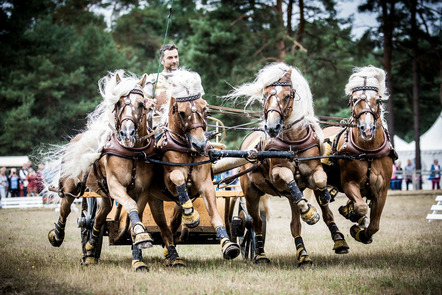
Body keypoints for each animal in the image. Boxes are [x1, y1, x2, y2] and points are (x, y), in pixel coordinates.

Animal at [46, 70, 180, 272]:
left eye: (141, 104)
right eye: (117, 103)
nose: (127, 133)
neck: (133, 154)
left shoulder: (142, 191)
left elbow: (134, 218)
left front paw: (138, 257)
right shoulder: (117, 186)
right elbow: (130, 206)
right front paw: (142, 237)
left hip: (105, 194)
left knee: (99, 217)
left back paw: (90, 248)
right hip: (72, 186)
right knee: (66, 208)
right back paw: (57, 236)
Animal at [148, 70, 240, 262]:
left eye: (205, 108)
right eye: (182, 113)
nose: (199, 144)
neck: (188, 150)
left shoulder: (205, 184)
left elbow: (215, 216)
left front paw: (227, 244)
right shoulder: (170, 181)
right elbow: (177, 177)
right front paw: (191, 216)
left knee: (173, 222)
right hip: (153, 199)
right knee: (164, 227)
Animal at [224, 63, 348, 268]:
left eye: (287, 95)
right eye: (265, 95)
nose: (272, 127)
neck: (293, 144)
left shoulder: (313, 172)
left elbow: (321, 183)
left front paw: (324, 200)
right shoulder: (277, 174)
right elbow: (288, 175)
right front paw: (309, 211)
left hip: (289, 196)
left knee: (298, 224)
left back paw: (306, 254)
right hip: (250, 193)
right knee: (255, 223)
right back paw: (261, 255)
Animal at [320, 67, 396, 245]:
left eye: (378, 101)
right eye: (355, 99)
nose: (366, 129)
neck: (367, 152)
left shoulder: (382, 190)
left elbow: (374, 224)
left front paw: (363, 233)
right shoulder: (349, 183)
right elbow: (361, 207)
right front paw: (355, 218)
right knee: (327, 213)